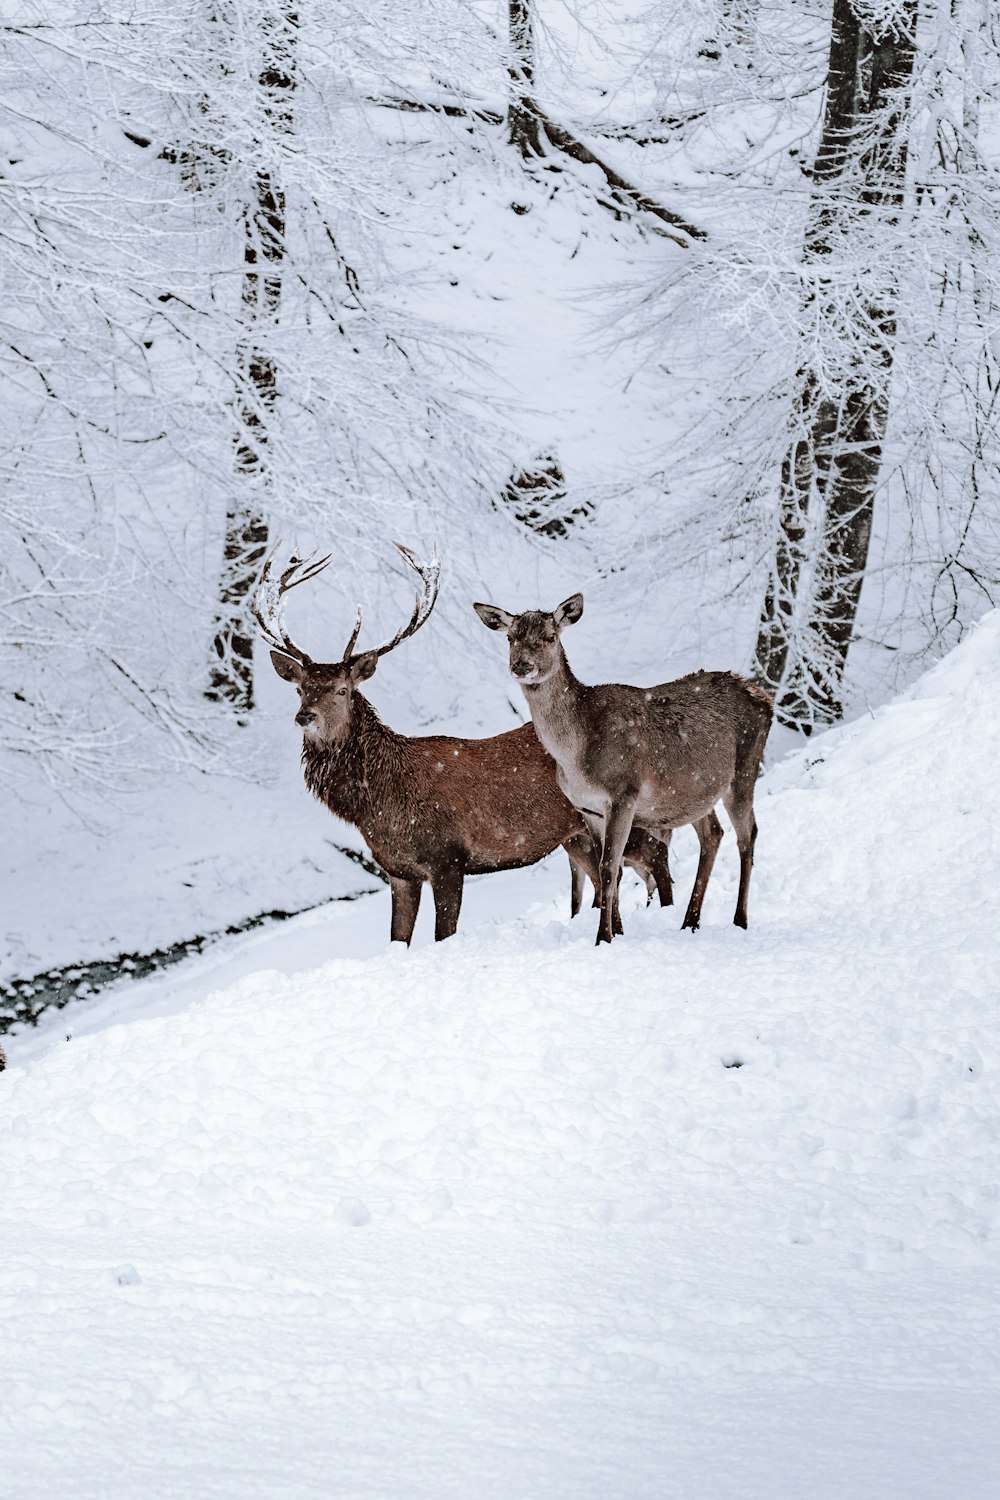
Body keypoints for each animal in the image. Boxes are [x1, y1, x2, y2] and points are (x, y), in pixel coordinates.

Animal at [250, 546, 671, 942]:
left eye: (342, 690)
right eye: (301, 689)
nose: (305, 717)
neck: (379, 805)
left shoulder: (448, 859)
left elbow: (443, 935)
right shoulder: (397, 870)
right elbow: (397, 940)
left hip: (631, 813)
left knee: (656, 859)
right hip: (577, 837)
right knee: (607, 881)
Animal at [476, 591, 773, 942]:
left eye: (550, 637)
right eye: (510, 637)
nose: (521, 666)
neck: (575, 757)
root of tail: (765, 698)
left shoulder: (623, 793)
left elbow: (607, 867)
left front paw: (602, 937)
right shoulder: (588, 808)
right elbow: (609, 868)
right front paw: (616, 932)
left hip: (744, 768)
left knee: (748, 835)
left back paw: (739, 919)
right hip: (694, 792)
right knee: (713, 834)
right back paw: (690, 921)